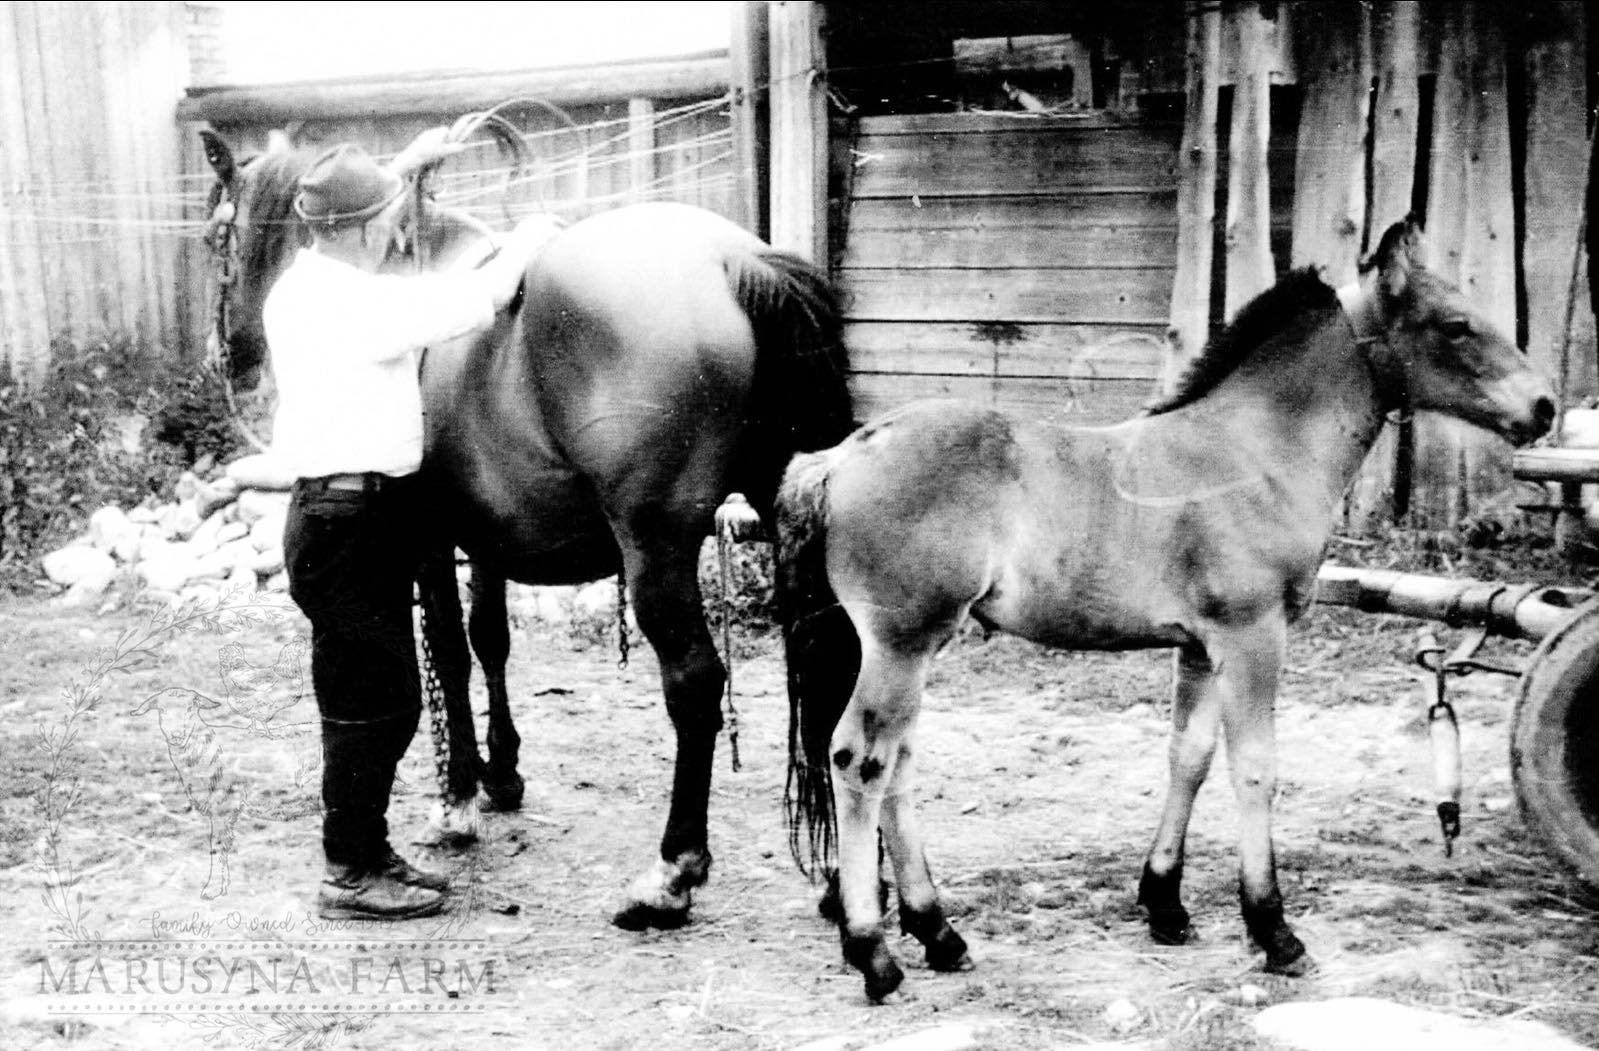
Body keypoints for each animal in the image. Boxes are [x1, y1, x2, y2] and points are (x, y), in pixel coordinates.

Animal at [199, 128, 855, 929]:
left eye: (217, 233)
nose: (225, 354)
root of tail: (732, 260)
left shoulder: (426, 539)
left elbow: (449, 654)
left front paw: (456, 798)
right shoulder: (485, 537)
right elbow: (491, 639)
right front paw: (502, 775)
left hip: (657, 546)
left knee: (696, 682)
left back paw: (671, 873)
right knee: (831, 660)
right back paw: (839, 878)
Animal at [775, 216, 1557, 1001]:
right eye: (1455, 324)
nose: (1545, 406)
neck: (1252, 454)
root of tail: (839, 457)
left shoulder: (1199, 646)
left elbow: (1190, 756)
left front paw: (1165, 904)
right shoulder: (1252, 636)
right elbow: (1255, 767)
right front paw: (1273, 930)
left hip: (910, 648)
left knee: (898, 764)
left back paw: (938, 932)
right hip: (902, 642)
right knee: (861, 760)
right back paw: (874, 953)